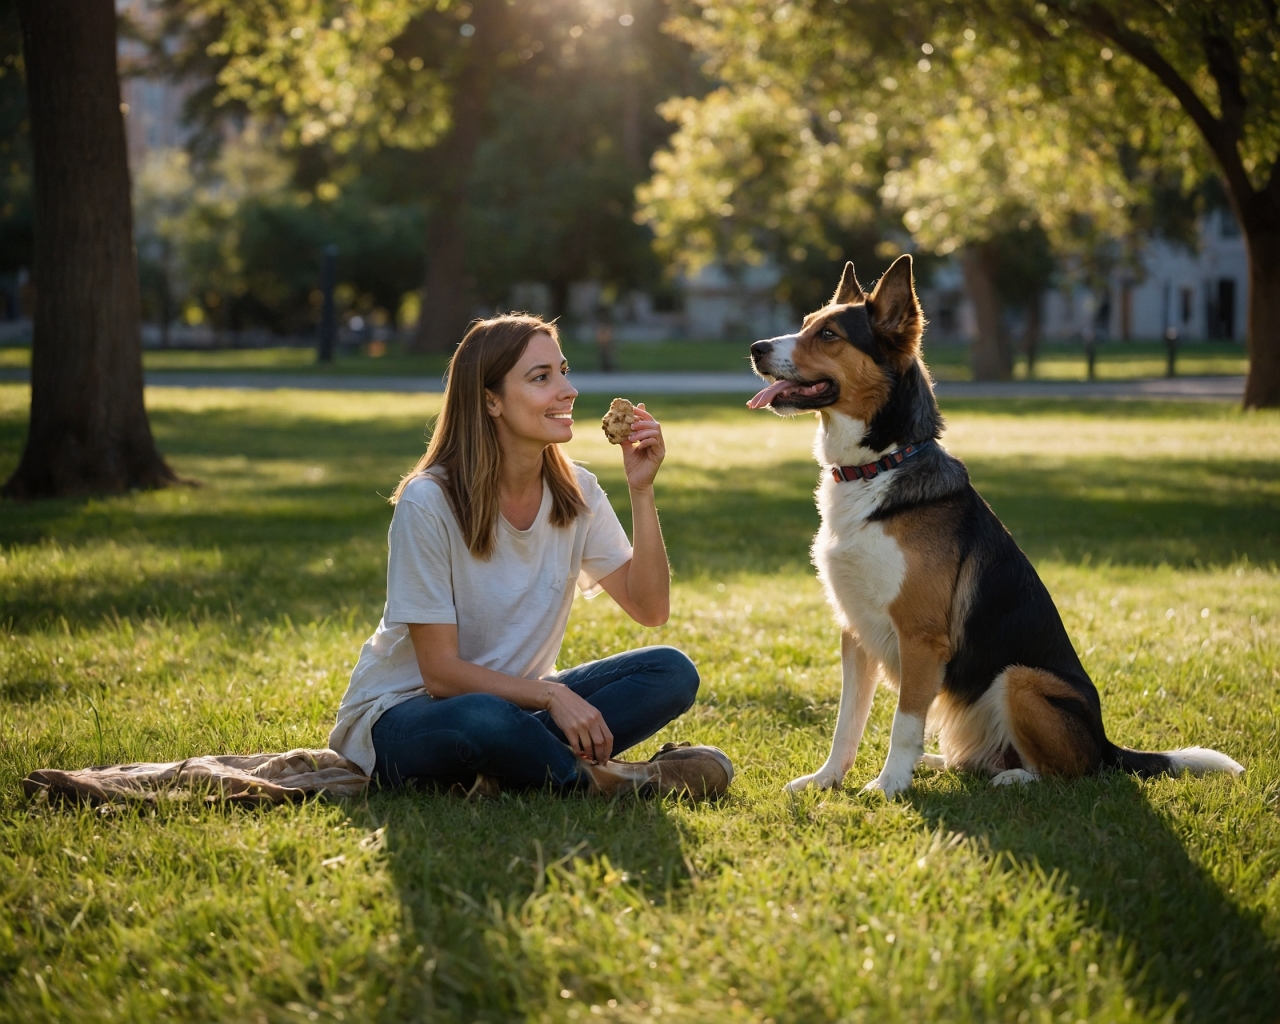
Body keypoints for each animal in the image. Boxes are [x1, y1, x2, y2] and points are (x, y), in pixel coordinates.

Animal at [747, 252, 1239, 793]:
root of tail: (1107, 744)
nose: (755, 349)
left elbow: (903, 722)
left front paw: (890, 786)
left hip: (1020, 678)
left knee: (1069, 771)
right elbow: (846, 723)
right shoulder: (855, 633)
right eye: (807, 323)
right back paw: (942, 763)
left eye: (829, 335)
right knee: (978, 759)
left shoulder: (920, 638)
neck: (879, 466)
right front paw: (826, 779)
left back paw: (1013, 779)